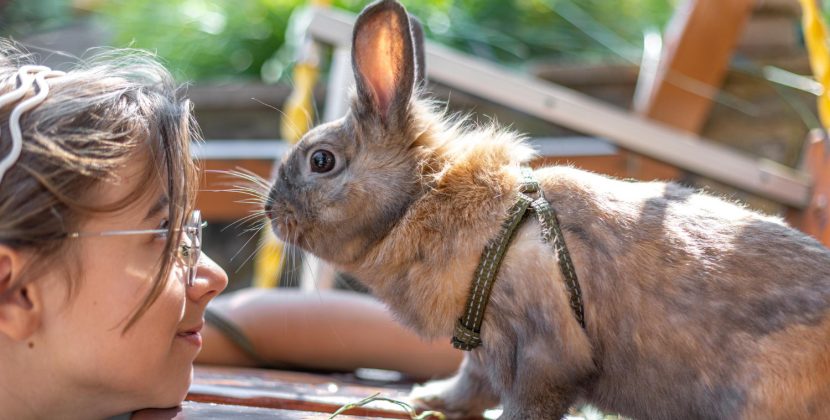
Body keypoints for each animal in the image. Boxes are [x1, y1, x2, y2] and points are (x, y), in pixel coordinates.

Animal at [264, 0, 830, 418]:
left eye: (321, 160)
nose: (270, 212)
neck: (422, 199)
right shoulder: (484, 347)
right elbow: (471, 384)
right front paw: (429, 399)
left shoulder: (543, 350)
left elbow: (527, 401)